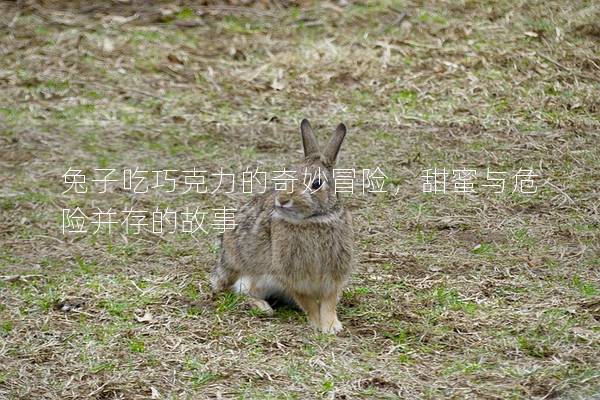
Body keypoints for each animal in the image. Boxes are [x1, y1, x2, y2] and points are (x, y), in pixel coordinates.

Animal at [211, 119, 354, 334]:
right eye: (290, 177)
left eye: (316, 184)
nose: (283, 200)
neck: (314, 220)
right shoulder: (291, 274)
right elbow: (308, 302)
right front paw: (317, 324)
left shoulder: (334, 273)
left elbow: (329, 301)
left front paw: (331, 326)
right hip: (251, 276)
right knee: (239, 291)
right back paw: (263, 307)